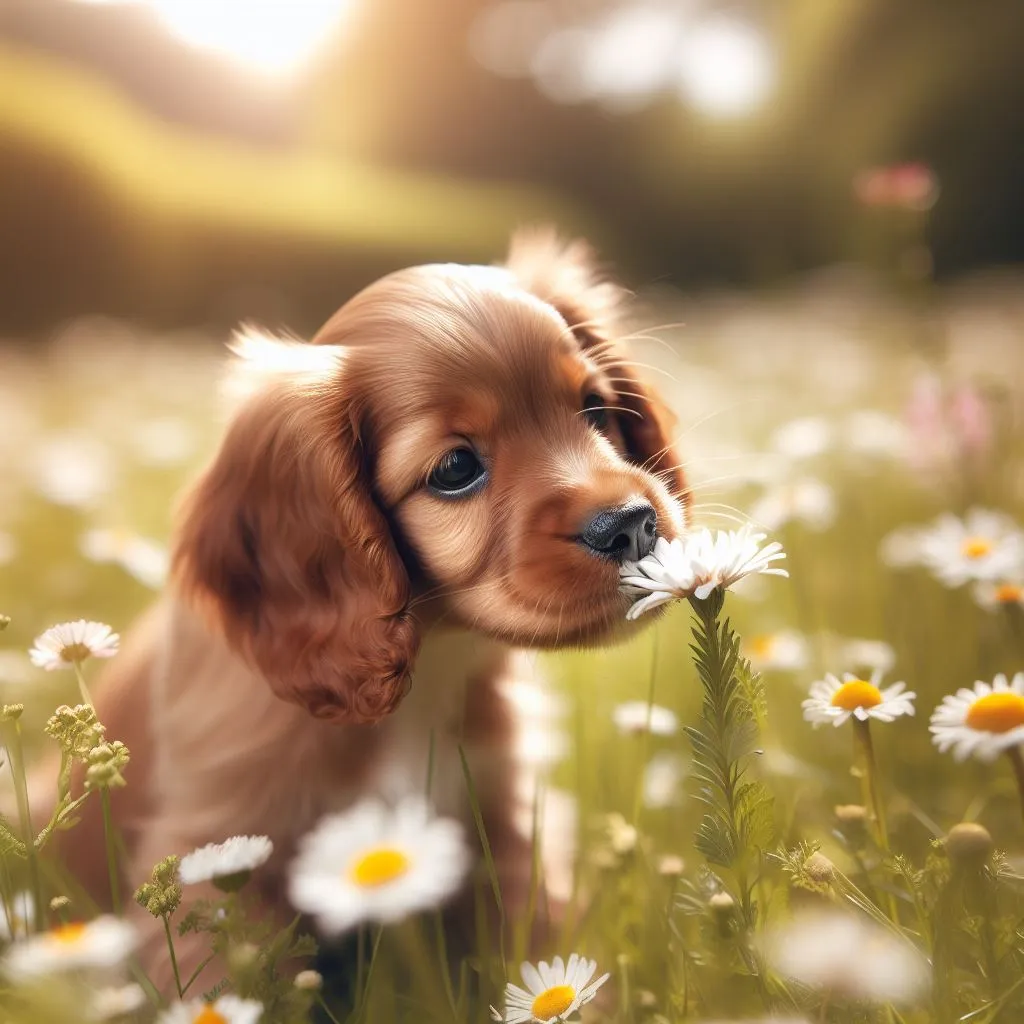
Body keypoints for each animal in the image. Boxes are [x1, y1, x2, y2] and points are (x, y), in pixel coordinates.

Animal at [37, 230, 688, 991]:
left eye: (593, 408)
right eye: (455, 469)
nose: (633, 525)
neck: (432, 664)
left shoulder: (502, 831)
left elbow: (539, 952)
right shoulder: (218, 855)